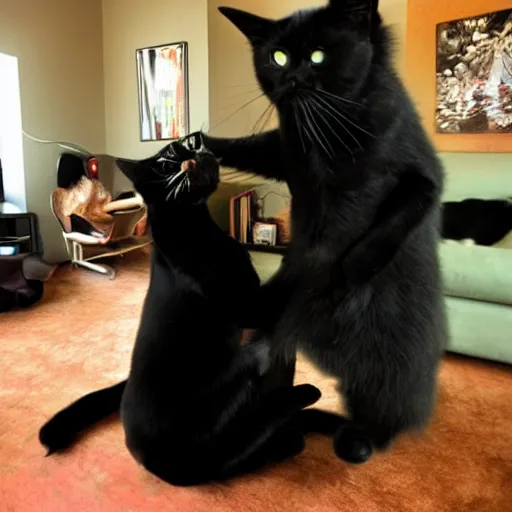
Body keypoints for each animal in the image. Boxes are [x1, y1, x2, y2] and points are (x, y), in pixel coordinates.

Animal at [40, 138, 320, 486]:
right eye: (166, 162)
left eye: (190, 143)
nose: (194, 151)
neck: (197, 226)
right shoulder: (248, 306)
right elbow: (287, 279)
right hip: (237, 394)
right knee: (245, 439)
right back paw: (297, 411)